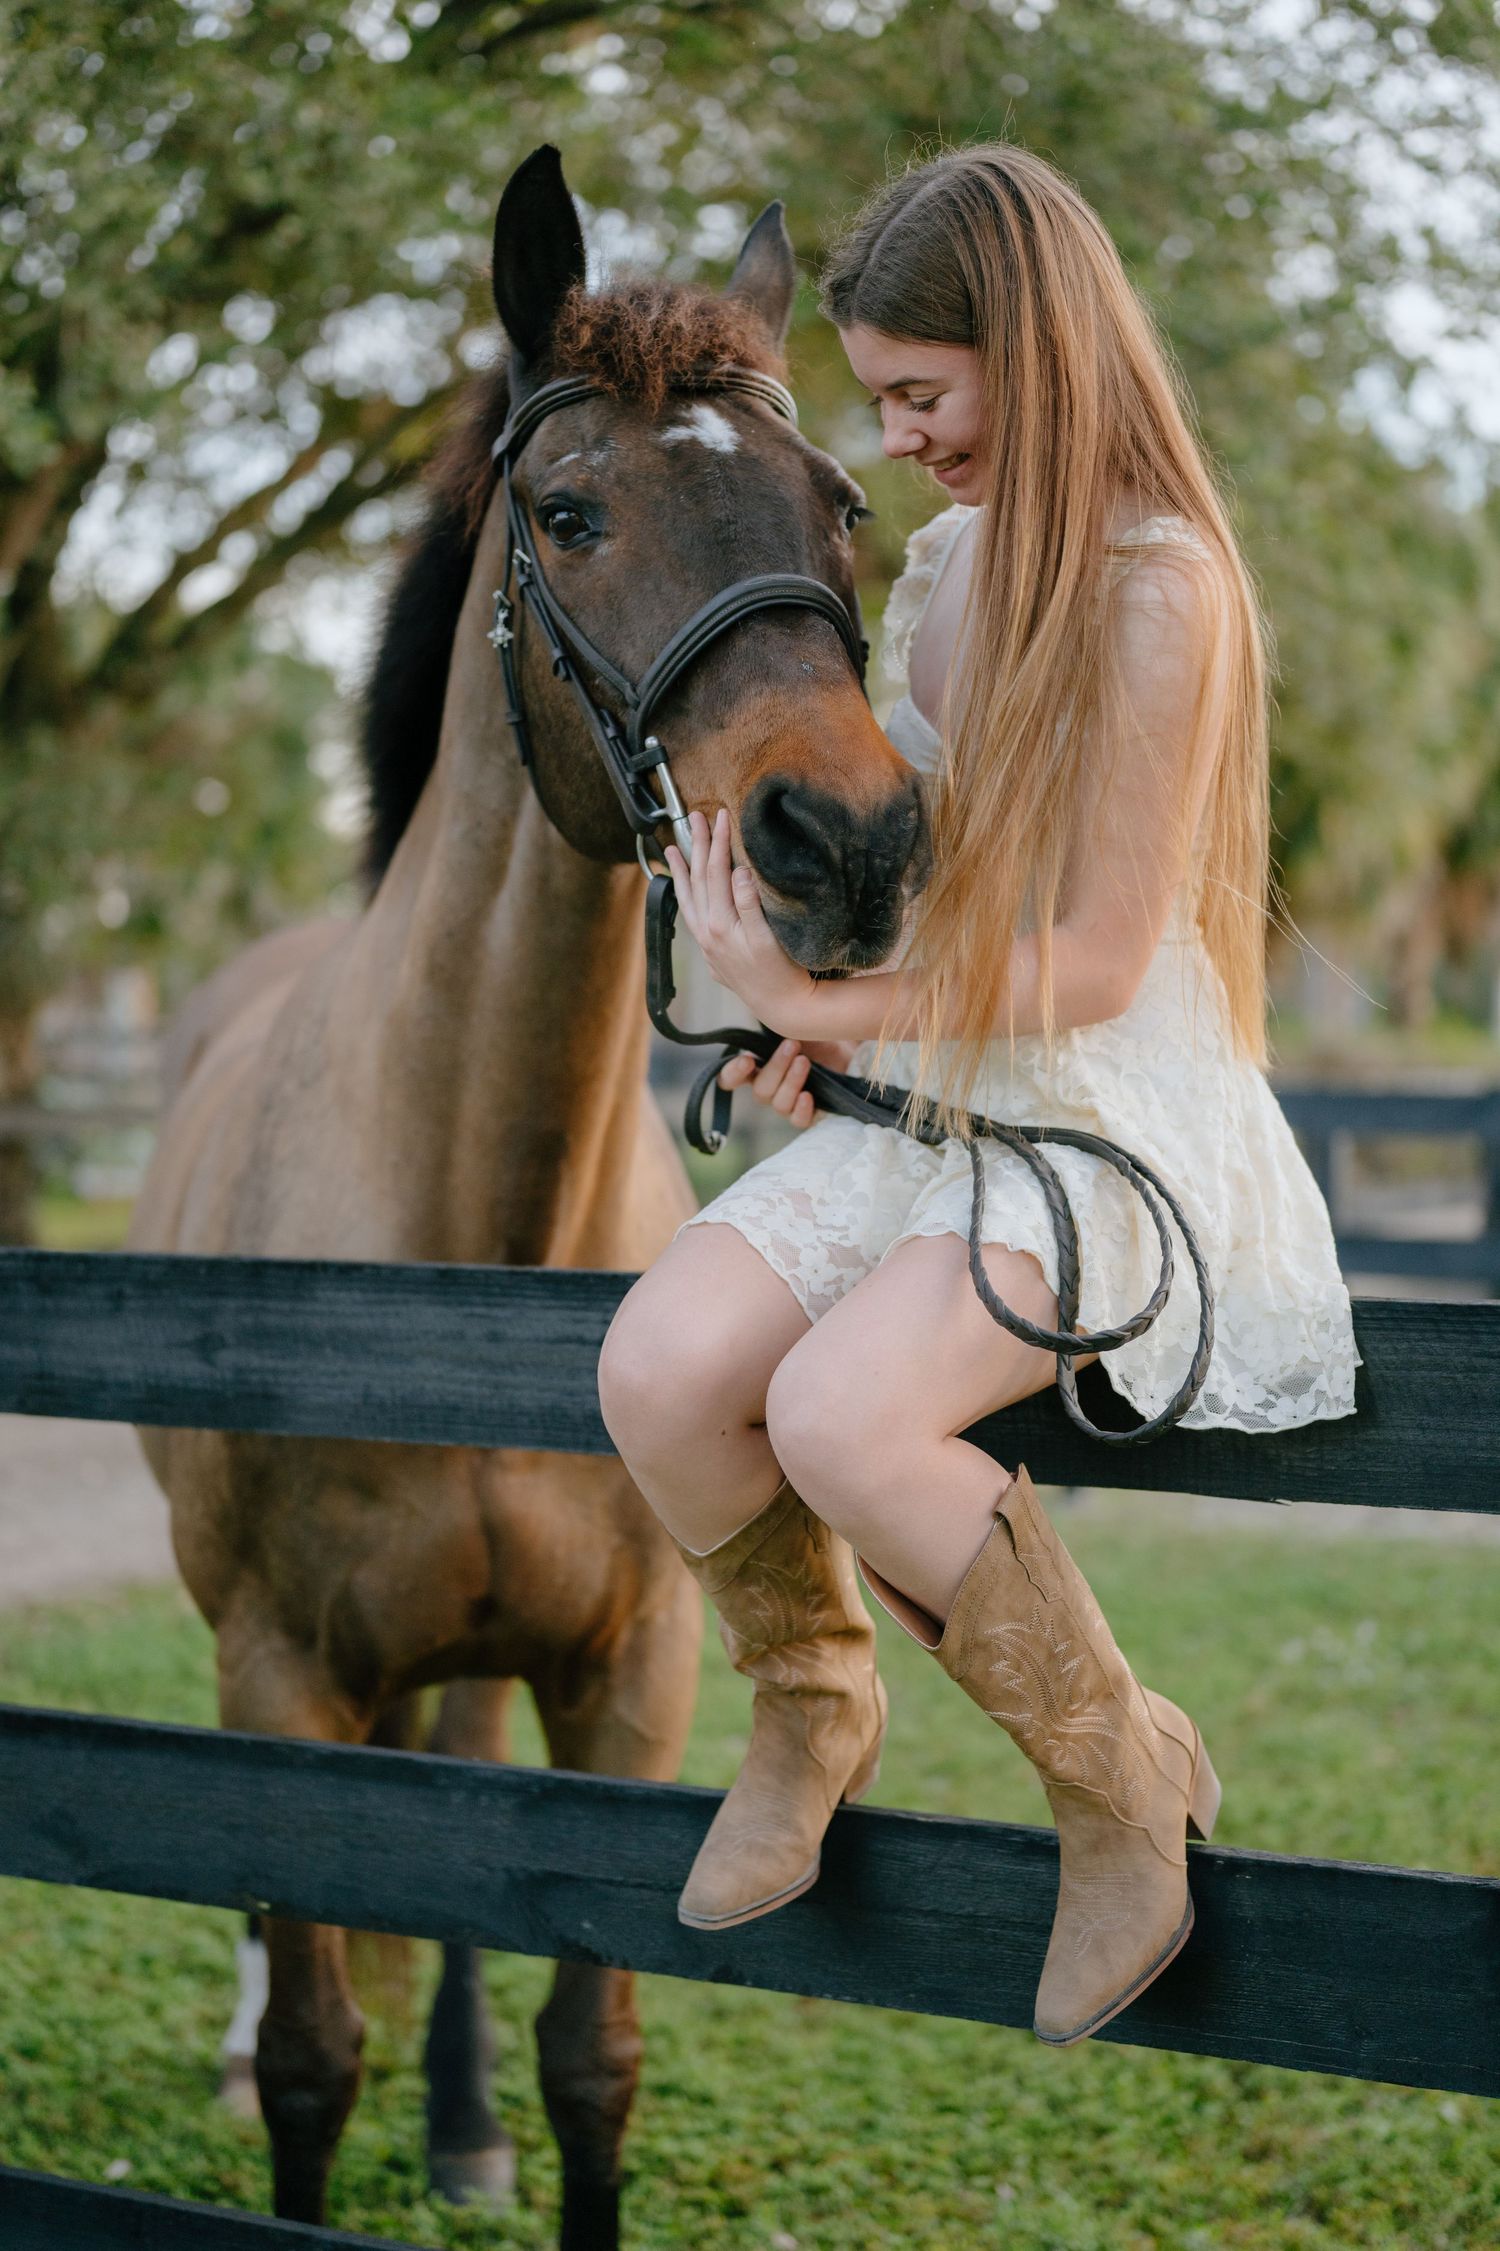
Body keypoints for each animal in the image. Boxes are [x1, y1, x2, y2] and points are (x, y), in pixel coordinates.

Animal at [127, 144, 929, 2249]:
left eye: (839, 505)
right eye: (570, 513)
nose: (852, 840)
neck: (461, 1255)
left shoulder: (627, 1682)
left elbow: (594, 2056)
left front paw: (506, 2116)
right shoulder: (279, 1676)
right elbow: (314, 2047)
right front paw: (289, 2077)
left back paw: (463, 2117)